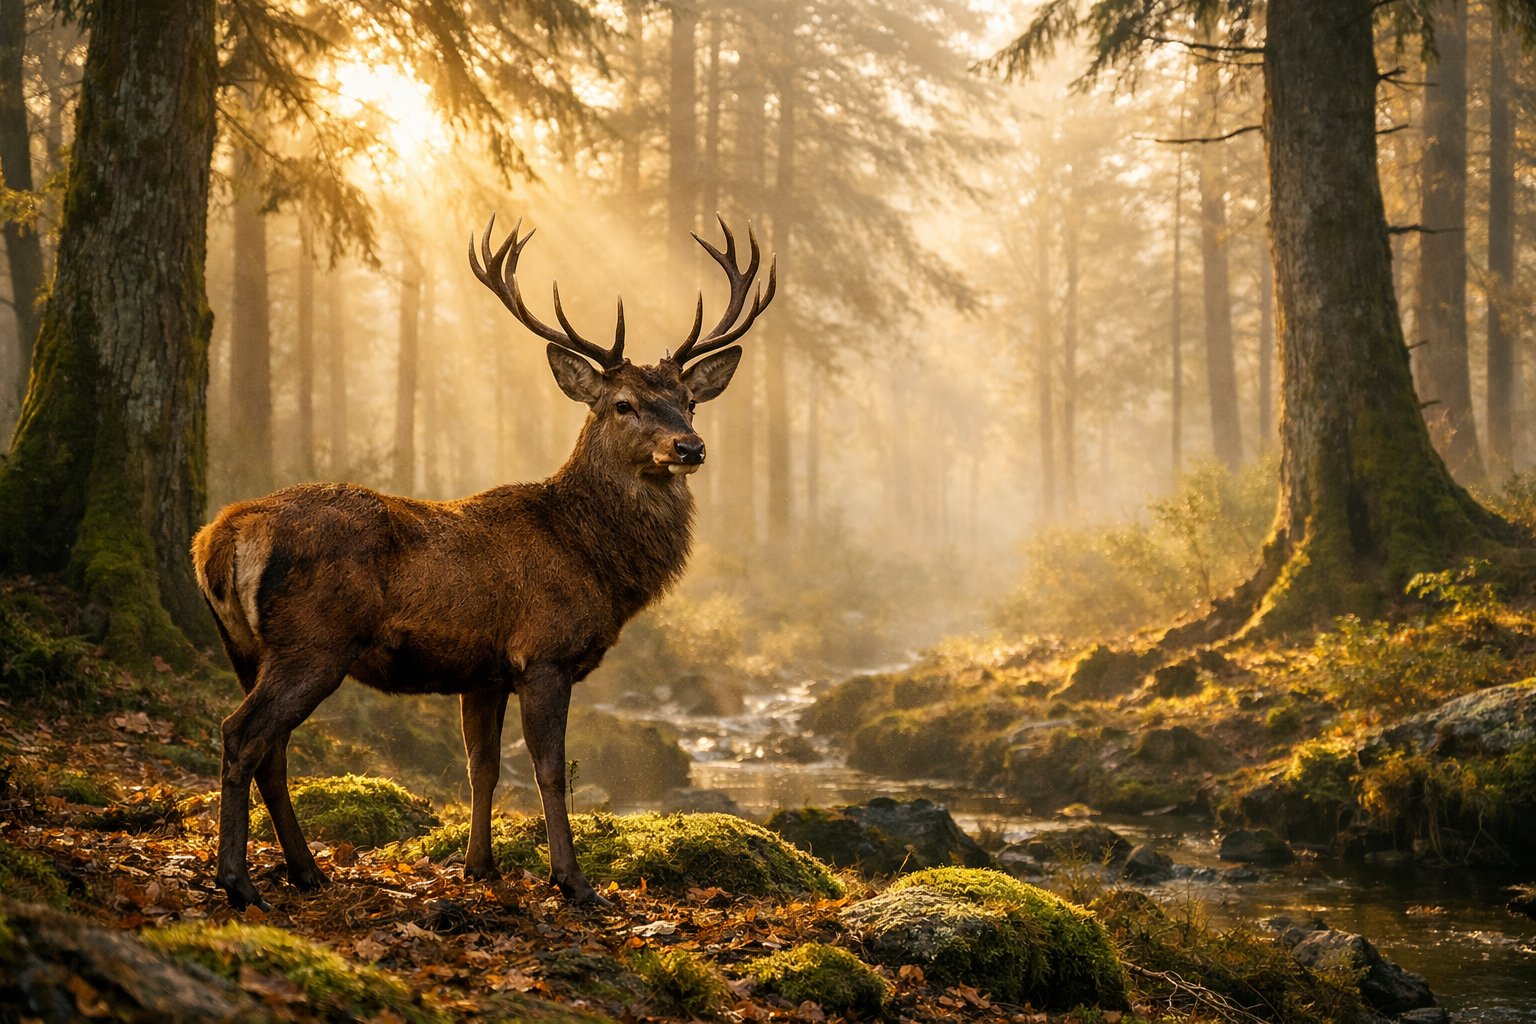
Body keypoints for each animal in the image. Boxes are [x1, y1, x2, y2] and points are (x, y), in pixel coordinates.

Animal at [192, 214, 774, 911]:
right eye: (623, 404)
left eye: (689, 399)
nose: (690, 447)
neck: (594, 560)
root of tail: (220, 536)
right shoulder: (543, 652)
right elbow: (549, 771)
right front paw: (573, 881)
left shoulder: (484, 670)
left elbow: (483, 767)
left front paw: (480, 867)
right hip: (313, 641)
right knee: (243, 735)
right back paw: (238, 880)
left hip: (245, 645)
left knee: (272, 749)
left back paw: (307, 870)